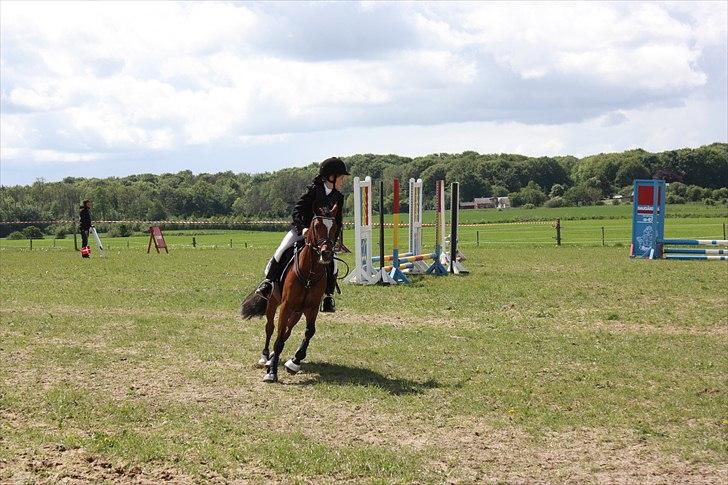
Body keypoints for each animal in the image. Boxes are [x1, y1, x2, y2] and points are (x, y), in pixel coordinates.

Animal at [240, 204, 340, 383]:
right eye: (316, 226)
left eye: (335, 228)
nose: (326, 254)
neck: (309, 273)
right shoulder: (286, 305)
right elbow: (278, 336)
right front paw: (272, 372)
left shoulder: (312, 307)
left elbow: (309, 332)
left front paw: (294, 361)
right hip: (273, 302)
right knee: (270, 328)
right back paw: (265, 357)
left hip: (298, 311)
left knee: (288, 329)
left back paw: (273, 357)